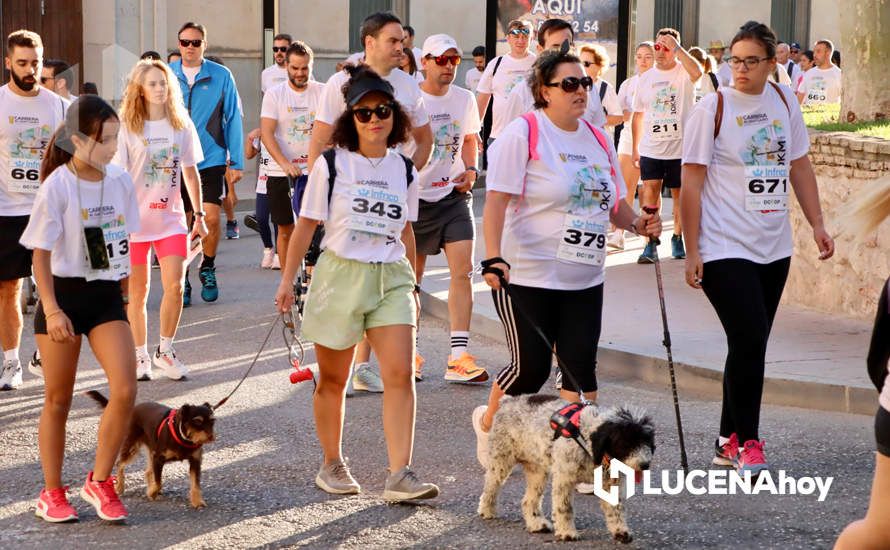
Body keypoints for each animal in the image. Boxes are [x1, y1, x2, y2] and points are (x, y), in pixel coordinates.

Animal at [85, 390, 217, 512]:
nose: (211, 437)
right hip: (132, 447)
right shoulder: (158, 459)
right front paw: (152, 492)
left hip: (151, 450)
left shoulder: (195, 461)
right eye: (198, 421)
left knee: (148, 471)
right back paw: (120, 486)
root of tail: (134, 408)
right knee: (120, 464)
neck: (183, 438)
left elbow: (195, 484)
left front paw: (197, 501)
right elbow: (159, 482)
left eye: (213, 420)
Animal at [478, 396, 652, 544]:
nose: (645, 464)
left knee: (528, 501)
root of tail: (508, 401)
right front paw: (567, 532)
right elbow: (564, 507)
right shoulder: (564, 478)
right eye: (626, 443)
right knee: (491, 487)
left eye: (648, 441)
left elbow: (616, 508)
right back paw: (487, 510)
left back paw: (536, 523)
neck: (586, 439)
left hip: (537, 471)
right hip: (501, 461)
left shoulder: (610, 483)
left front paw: (621, 531)